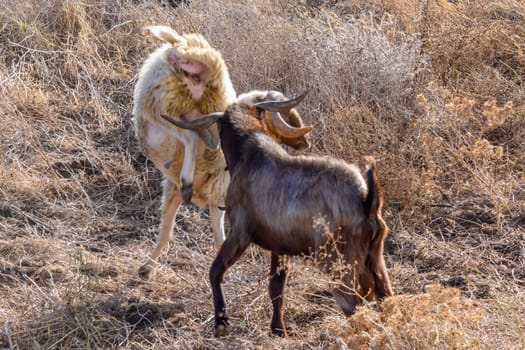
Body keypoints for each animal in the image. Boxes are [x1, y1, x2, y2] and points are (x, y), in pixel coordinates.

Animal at [162, 98, 390, 336]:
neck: (248, 154)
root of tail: (367, 202)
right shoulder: (280, 248)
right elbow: (276, 289)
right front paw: (278, 329)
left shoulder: (239, 234)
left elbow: (215, 272)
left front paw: (221, 322)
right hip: (375, 262)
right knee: (385, 299)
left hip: (338, 263)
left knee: (353, 307)